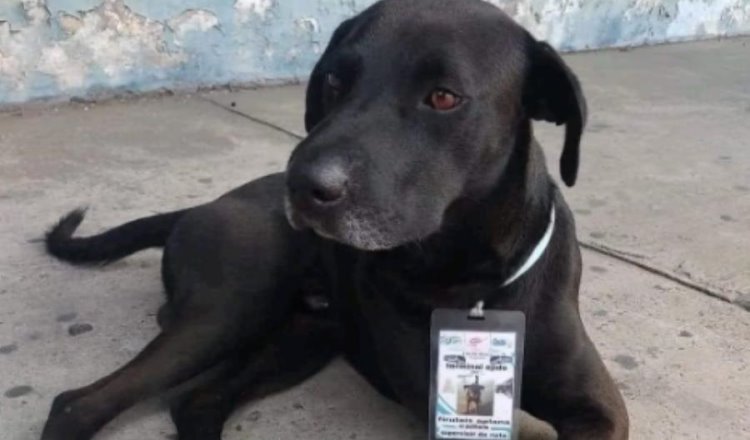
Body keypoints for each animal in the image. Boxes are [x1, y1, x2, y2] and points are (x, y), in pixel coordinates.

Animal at [41, 0, 632, 440]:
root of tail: (204, 206)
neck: (476, 282)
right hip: (229, 309)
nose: (302, 186)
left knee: (197, 402)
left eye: (444, 96)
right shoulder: (438, 404)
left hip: (302, 339)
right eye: (333, 81)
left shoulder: (598, 408)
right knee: (77, 404)